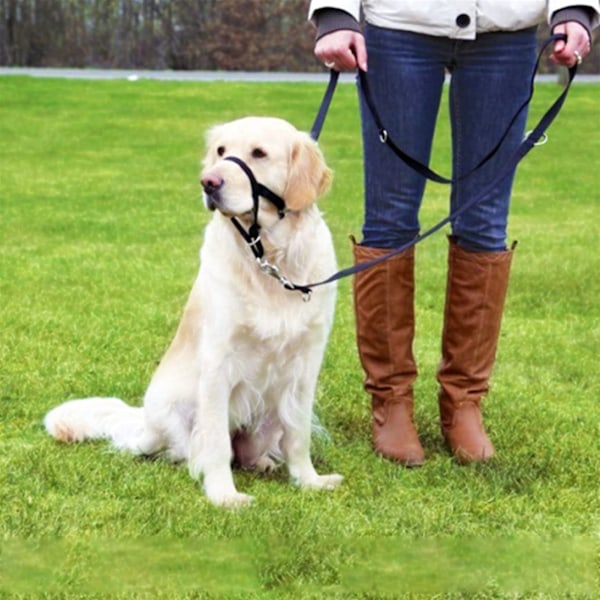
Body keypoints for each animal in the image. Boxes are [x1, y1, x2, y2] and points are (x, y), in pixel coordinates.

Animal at [45, 116, 344, 506]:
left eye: (259, 153)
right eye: (220, 150)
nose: (208, 182)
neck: (268, 259)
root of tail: (146, 422)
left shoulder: (306, 365)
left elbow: (298, 436)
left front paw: (309, 481)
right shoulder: (218, 361)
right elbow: (215, 443)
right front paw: (224, 495)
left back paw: (264, 462)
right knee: (191, 451)